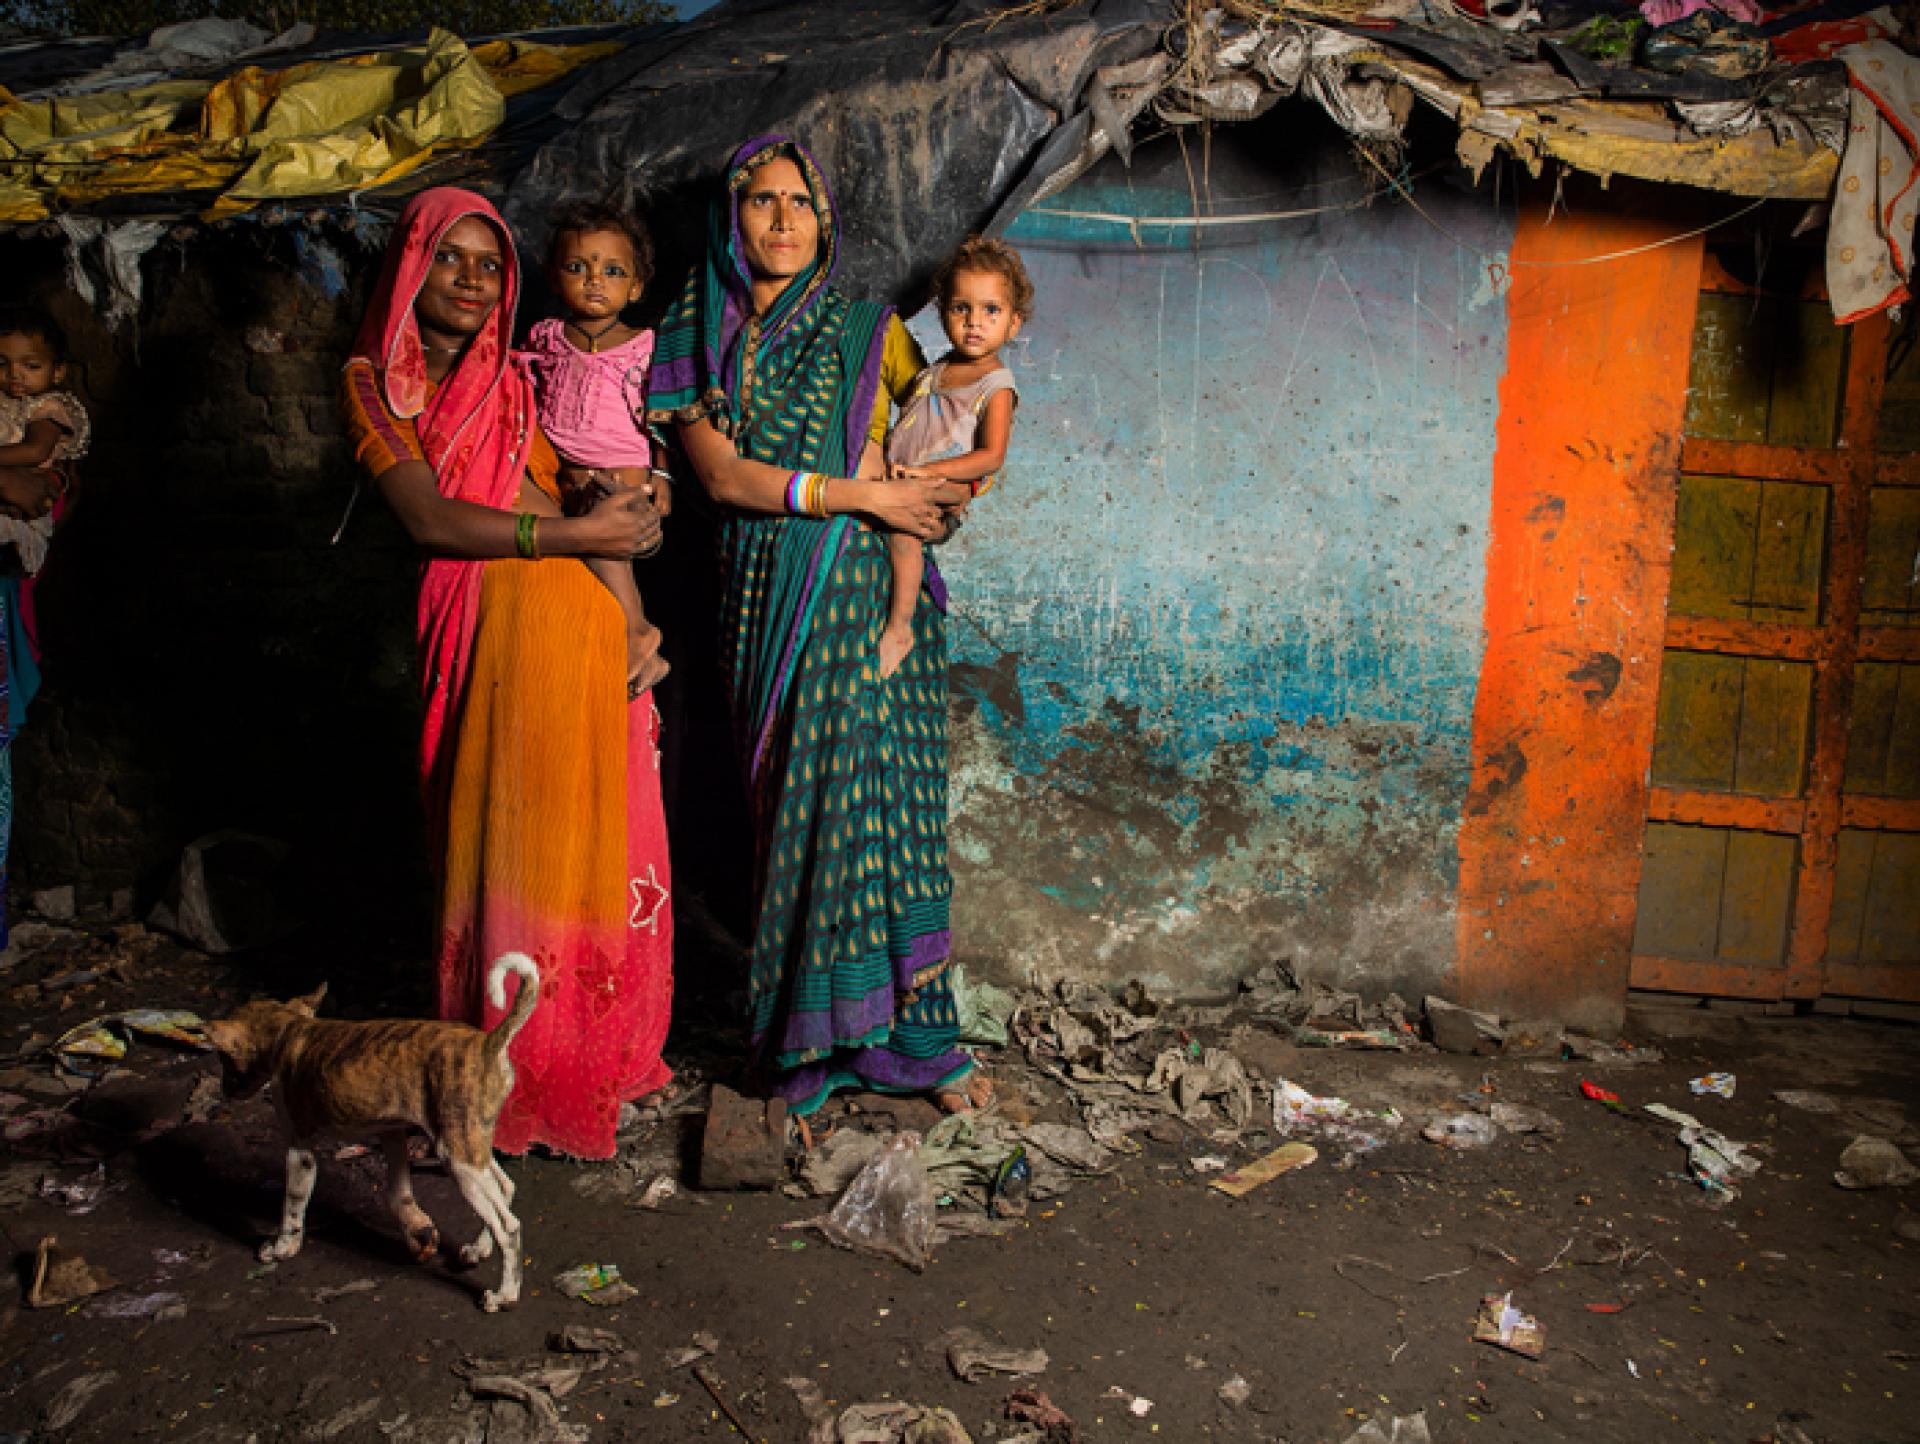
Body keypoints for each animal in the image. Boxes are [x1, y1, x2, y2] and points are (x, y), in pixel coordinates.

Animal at [203, 952, 541, 1313]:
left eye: (224, 1057)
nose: (224, 1090)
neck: (287, 1031)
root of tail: (489, 1042)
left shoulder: (299, 1150)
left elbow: (292, 1206)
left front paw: (282, 1247)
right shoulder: (391, 1133)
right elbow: (398, 1193)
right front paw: (418, 1233)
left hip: (459, 1160)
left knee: (510, 1226)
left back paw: (504, 1294)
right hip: (468, 1144)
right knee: (505, 1188)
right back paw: (479, 1249)